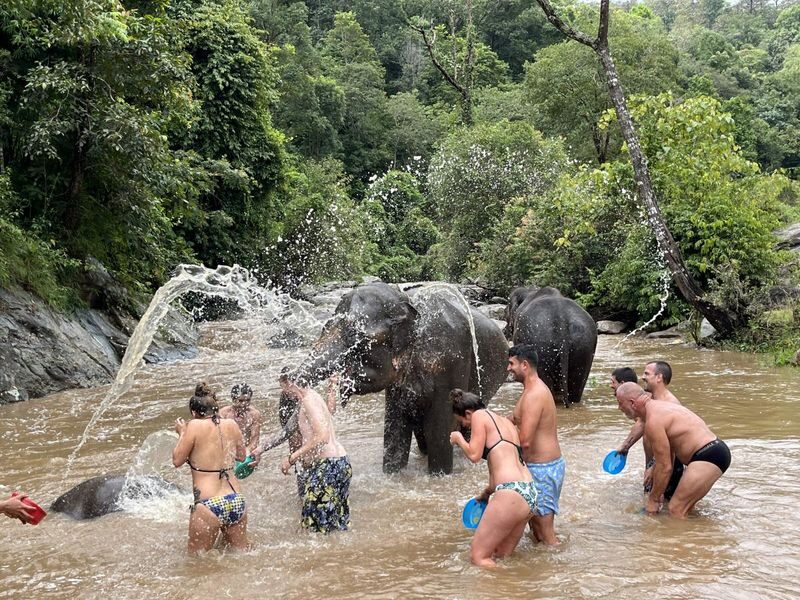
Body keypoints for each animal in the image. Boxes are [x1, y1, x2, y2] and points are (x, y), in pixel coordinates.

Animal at [294, 282, 509, 475]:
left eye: (357, 338)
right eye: (324, 328)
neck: (406, 302)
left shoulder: (451, 360)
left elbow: (438, 431)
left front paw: (439, 476)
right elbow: (395, 427)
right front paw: (392, 475)